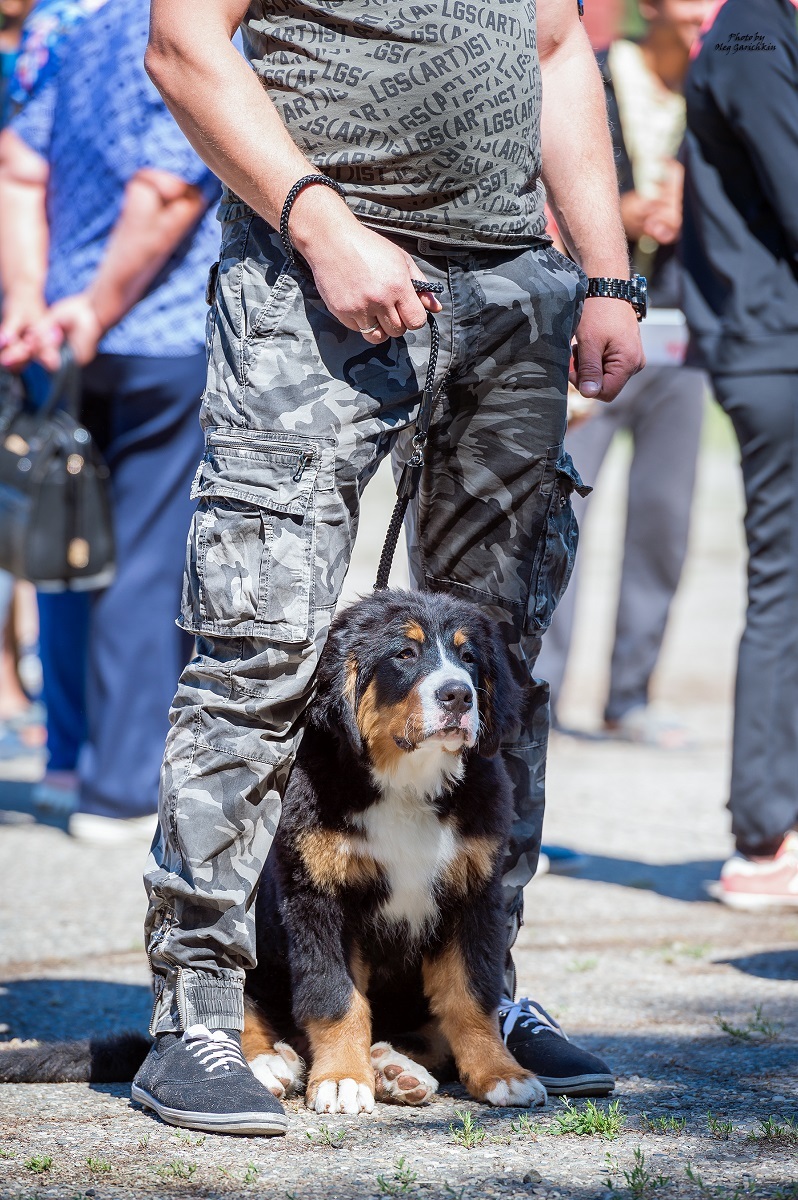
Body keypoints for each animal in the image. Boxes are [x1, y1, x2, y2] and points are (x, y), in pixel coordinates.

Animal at [240, 590, 544, 1113]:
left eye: (469, 658)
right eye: (405, 654)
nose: (459, 695)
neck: (407, 781)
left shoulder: (474, 896)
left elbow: (471, 996)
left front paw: (501, 1073)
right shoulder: (319, 898)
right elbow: (336, 997)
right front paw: (342, 1078)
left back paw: (393, 1069)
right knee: (239, 1005)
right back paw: (271, 1065)